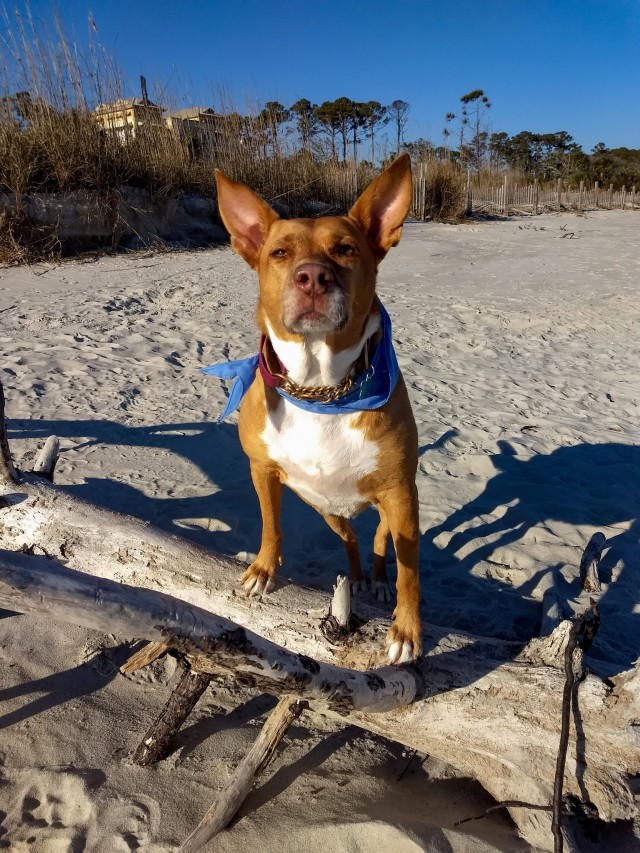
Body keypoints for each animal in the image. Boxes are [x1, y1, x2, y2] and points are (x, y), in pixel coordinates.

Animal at [209, 155, 420, 664]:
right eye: (279, 253)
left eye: (345, 249)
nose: (313, 278)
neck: (320, 388)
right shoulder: (262, 469)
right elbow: (271, 524)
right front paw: (262, 570)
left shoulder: (401, 491)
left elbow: (411, 570)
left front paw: (407, 630)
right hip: (327, 508)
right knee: (350, 541)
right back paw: (357, 577)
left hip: (388, 501)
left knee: (379, 539)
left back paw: (377, 582)